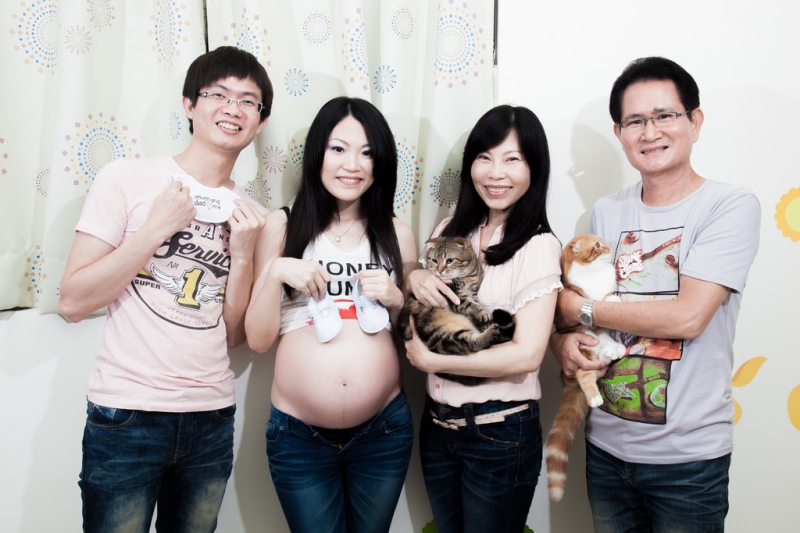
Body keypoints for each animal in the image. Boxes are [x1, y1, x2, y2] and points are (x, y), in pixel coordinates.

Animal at [398, 236, 515, 386]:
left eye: (449, 260)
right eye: (434, 260)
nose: (439, 271)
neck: (469, 276)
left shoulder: (473, 293)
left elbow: (475, 303)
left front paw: (482, 318)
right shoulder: (456, 297)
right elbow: (471, 305)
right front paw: (483, 313)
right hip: (440, 336)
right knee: (471, 344)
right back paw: (490, 332)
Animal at [545, 234, 626, 502]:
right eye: (598, 246)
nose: (609, 248)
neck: (596, 272)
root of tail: (566, 382)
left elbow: (607, 296)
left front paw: (612, 298)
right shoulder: (584, 309)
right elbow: (594, 302)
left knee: (607, 348)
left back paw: (615, 350)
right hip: (583, 350)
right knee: (584, 375)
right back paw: (594, 397)